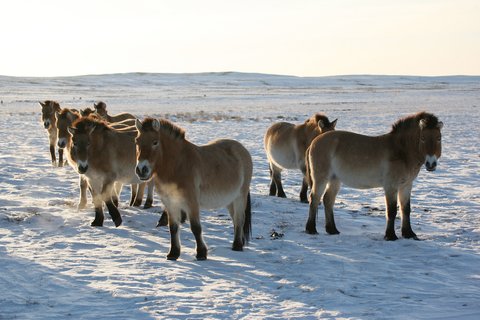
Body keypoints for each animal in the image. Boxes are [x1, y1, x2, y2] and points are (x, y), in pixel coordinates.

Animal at [135, 117, 253, 260]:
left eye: (155, 142)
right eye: (137, 141)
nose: (141, 170)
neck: (178, 165)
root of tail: (242, 149)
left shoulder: (191, 202)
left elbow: (196, 227)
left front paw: (201, 253)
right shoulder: (170, 202)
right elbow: (173, 227)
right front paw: (173, 253)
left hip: (240, 196)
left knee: (239, 219)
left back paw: (237, 246)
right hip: (230, 200)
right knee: (236, 220)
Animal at [306, 112, 444, 240]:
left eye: (439, 138)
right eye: (423, 138)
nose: (431, 164)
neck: (400, 151)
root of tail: (313, 142)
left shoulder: (406, 186)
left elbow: (406, 209)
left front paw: (409, 233)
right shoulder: (391, 186)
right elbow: (392, 211)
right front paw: (390, 236)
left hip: (335, 180)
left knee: (328, 200)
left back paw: (332, 230)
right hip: (321, 178)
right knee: (314, 199)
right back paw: (311, 229)